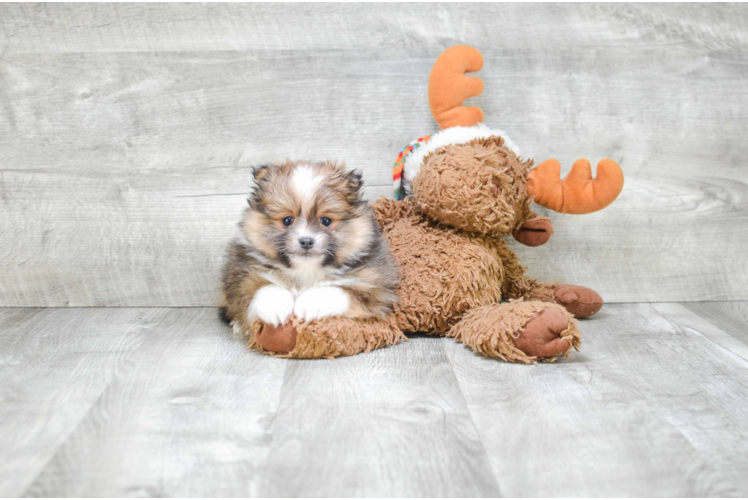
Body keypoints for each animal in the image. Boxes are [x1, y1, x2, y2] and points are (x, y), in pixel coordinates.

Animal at [221, 160, 400, 336]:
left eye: (326, 221)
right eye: (287, 220)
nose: (306, 241)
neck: (306, 271)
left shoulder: (376, 290)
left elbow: (343, 291)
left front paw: (310, 303)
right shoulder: (242, 276)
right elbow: (262, 287)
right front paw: (274, 306)